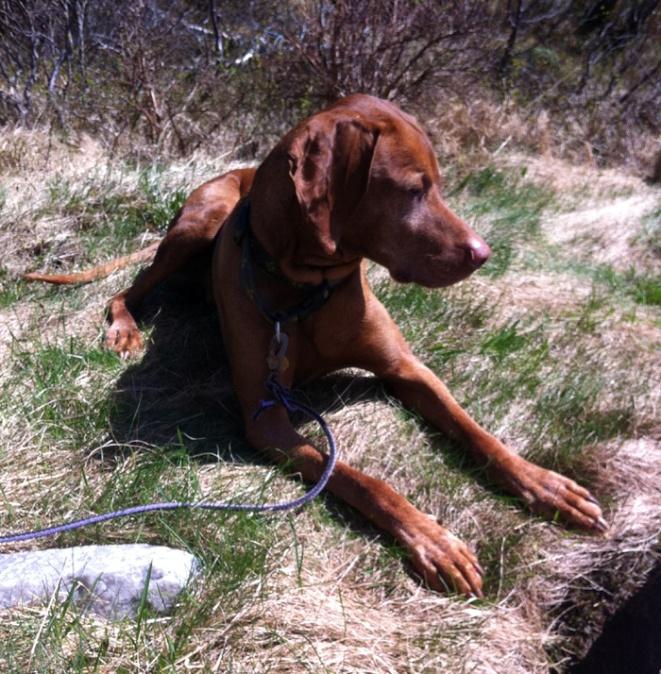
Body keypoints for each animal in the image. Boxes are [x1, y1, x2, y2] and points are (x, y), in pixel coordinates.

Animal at [24, 94, 604, 592]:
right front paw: (433, 541)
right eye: (413, 189)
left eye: (437, 184)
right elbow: (362, 479)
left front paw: (545, 485)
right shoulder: (266, 419)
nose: (483, 253)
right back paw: (125, 330)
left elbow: (475, 430)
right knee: (127, 289)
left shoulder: (407, 369)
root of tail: (237, 176)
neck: (307, 290)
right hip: (193, 229)